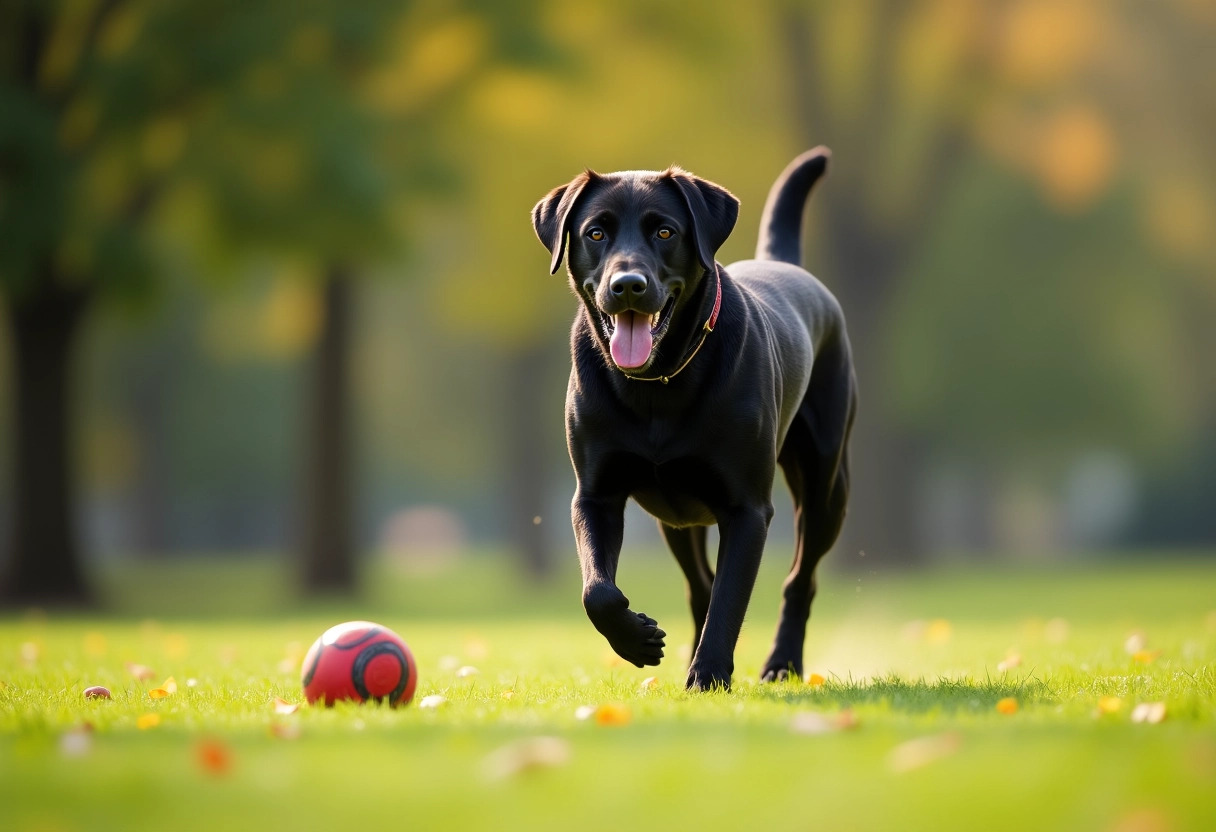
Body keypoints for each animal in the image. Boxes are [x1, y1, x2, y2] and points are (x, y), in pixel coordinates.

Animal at [532, 147, 856, 690]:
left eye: (665, 231)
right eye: (595, 233)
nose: (628, 286)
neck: (657, 385)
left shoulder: (747, 509)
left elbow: (730, 597)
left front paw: (707, 676)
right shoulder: (595, 494)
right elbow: (597, 590)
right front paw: (638, 640)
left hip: (825, 488)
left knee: (799, 579)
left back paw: (782, 663)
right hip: (675, 519)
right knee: (698, 583)